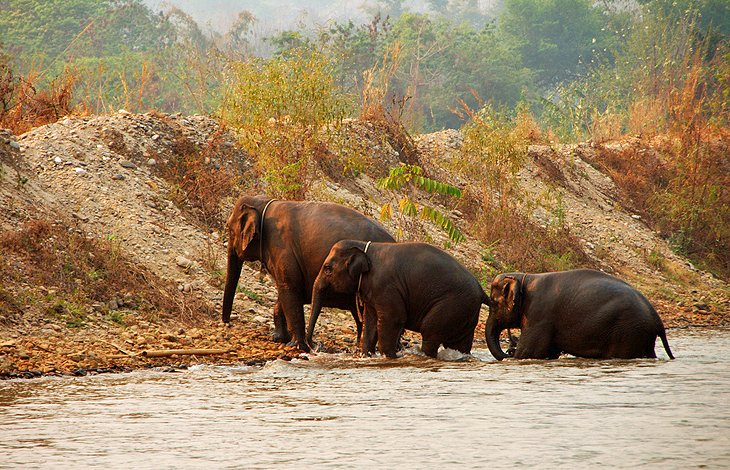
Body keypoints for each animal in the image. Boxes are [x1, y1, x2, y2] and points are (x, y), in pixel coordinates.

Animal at [220, 193, 392, 350]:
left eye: (228, 228)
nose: (227, 323)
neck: (264, 203)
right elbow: (287, 291)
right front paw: (279, 338)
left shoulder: (282, 247)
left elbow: (289, 287)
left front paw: (296, 345)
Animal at [308, 241, 484, 358]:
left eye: (327, 269)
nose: (314, 346)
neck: (365, 246)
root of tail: (481, 289)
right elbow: (370, 322)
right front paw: (367, 356)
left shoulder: (386, 287)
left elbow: (393, 319)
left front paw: (390, 357)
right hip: (465, 312)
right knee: (459, 343)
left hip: (451, 305)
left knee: (430, 333)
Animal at [480, 268, 672, 360]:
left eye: (493, 303)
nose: (509, 349)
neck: (525, 277)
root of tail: (657, 320)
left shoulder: (539, 315)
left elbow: (529, 353)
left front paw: (515, 354)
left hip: (628, 331)